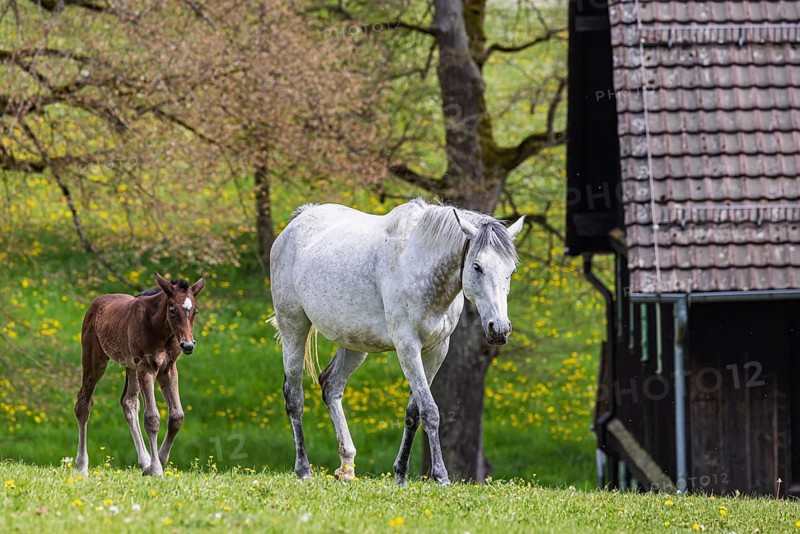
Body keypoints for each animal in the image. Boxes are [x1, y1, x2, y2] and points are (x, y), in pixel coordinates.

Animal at [74, 273, 205, 476]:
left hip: (131, 368)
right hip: (95, 359)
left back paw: (145, 461)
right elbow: (152, 418)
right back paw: (82, 466)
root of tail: (95, 303)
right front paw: (157, 469)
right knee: (83, 404)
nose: (188, 345)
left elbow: (177, 416)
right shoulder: (146, 367)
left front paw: (157, 462)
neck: (160, 330)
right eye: (172, 310)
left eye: (195, 311)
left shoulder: (168, 368)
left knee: (128, 402)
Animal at [269, 199, 523, 485]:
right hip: (293, 327)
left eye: (511, 270)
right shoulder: (407, 347)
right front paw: (441, 476)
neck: (418, 261)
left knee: (331, 386)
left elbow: (414, 412)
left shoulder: (436, 350)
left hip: (354, 343)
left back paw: (347, 467)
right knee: (294, 397)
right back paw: (304, 470)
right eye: (477, 266)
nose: (499, 329)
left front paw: (401, 474)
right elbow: (430, 411)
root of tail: (298, 221)